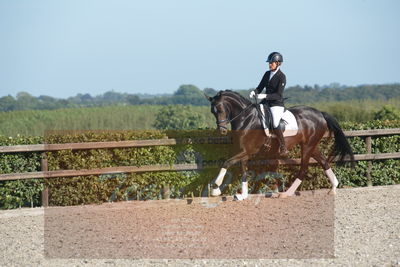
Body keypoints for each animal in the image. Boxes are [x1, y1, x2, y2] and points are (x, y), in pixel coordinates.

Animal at [205, 90, 354, 201]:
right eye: (212, 111)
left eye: (220, 109)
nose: (222, 131)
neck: (246, 118)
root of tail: (320, 113)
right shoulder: (244, 152)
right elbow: (243, 171)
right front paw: (243, 195)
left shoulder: (248, 150)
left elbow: (227, 162)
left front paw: (215, 188)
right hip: (312, 146)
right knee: (324, 162)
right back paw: (333, 188)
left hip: (307, 147)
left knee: (304, 169)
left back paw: (286, 193)